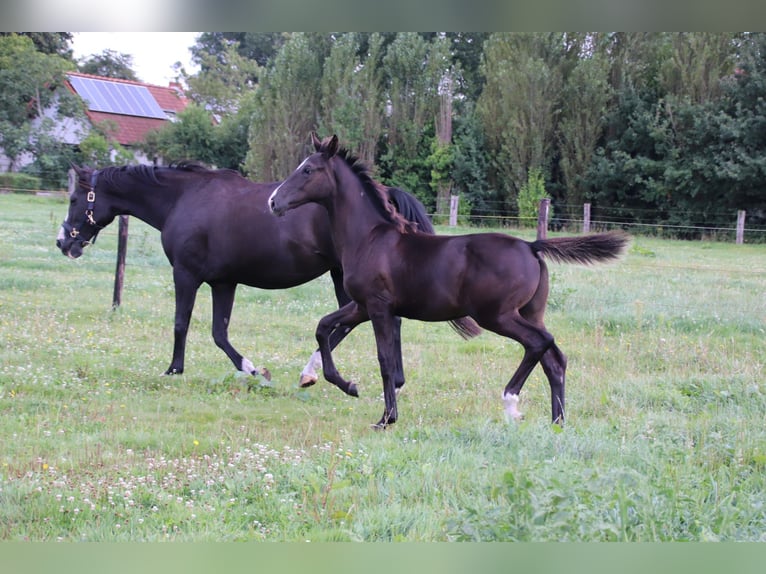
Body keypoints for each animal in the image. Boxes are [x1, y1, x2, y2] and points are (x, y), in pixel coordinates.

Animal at [57, 162, 476, 392]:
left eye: (76, 199)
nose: (64, 242)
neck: (183, 200)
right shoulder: (223, 282)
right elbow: (219, 332)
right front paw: (252, 369)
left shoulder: (186, 275)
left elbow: (181, 324)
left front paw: (174, 370)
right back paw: (394, 381)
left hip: (342, 276)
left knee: (348, 325)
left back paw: (311, 373)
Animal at [270, 135, 632, 430]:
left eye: (308, 170)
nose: (274, 202)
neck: (370, 238)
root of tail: (531, 246)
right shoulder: (360, 306)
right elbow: (323, 327)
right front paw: (348, 386)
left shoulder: (378, 307)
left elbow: (385, 360)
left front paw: (386, 418)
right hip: (530, 312)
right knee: (555, 360)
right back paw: (557, 422)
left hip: (498, 315)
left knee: (539, 343)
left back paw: (511, 402)